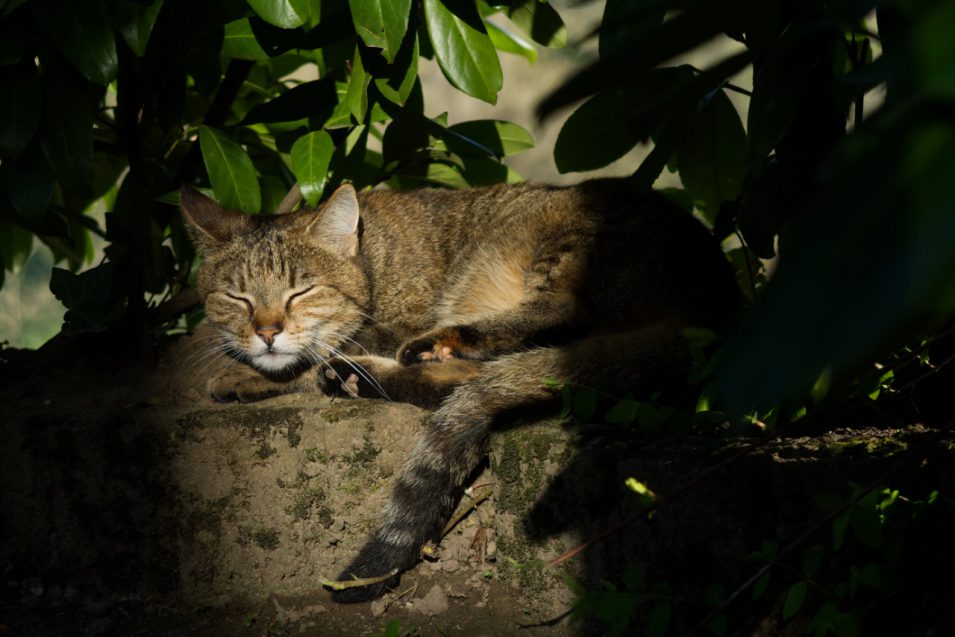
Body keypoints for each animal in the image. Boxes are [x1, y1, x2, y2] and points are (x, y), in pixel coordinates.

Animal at [181, 178, 748, 600]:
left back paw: (420, 350)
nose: (267, 331)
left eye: (301, 291)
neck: (372, 258)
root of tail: (718, 307)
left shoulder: (382, 325)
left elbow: (314, 350)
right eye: (237, 297)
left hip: (549, 242)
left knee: (556, 318)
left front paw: (242, 372)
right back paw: (365, 376)